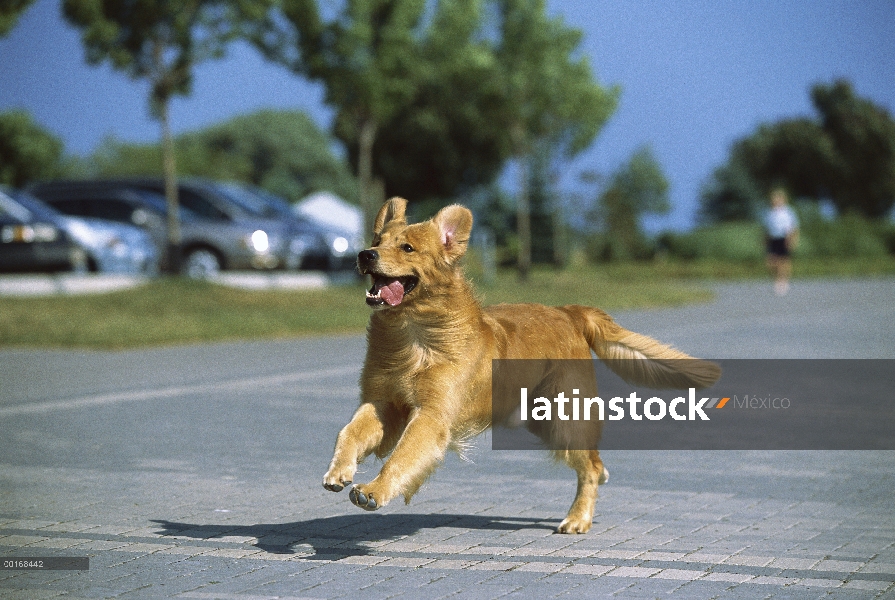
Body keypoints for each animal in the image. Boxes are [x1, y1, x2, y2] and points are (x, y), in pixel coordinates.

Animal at [322, 198, 720, 536]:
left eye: (407, 248)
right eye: (377, 240)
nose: (365, 254)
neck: (412, 334)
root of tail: (568, 312)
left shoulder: (431, 415)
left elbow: (402, 456)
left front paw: (374, 490)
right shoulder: (382, 402)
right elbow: (349, 432)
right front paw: (338, 471)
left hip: (564, 419)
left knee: (590, 467)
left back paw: (578, 519)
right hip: (541, 419)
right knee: (596, 463)